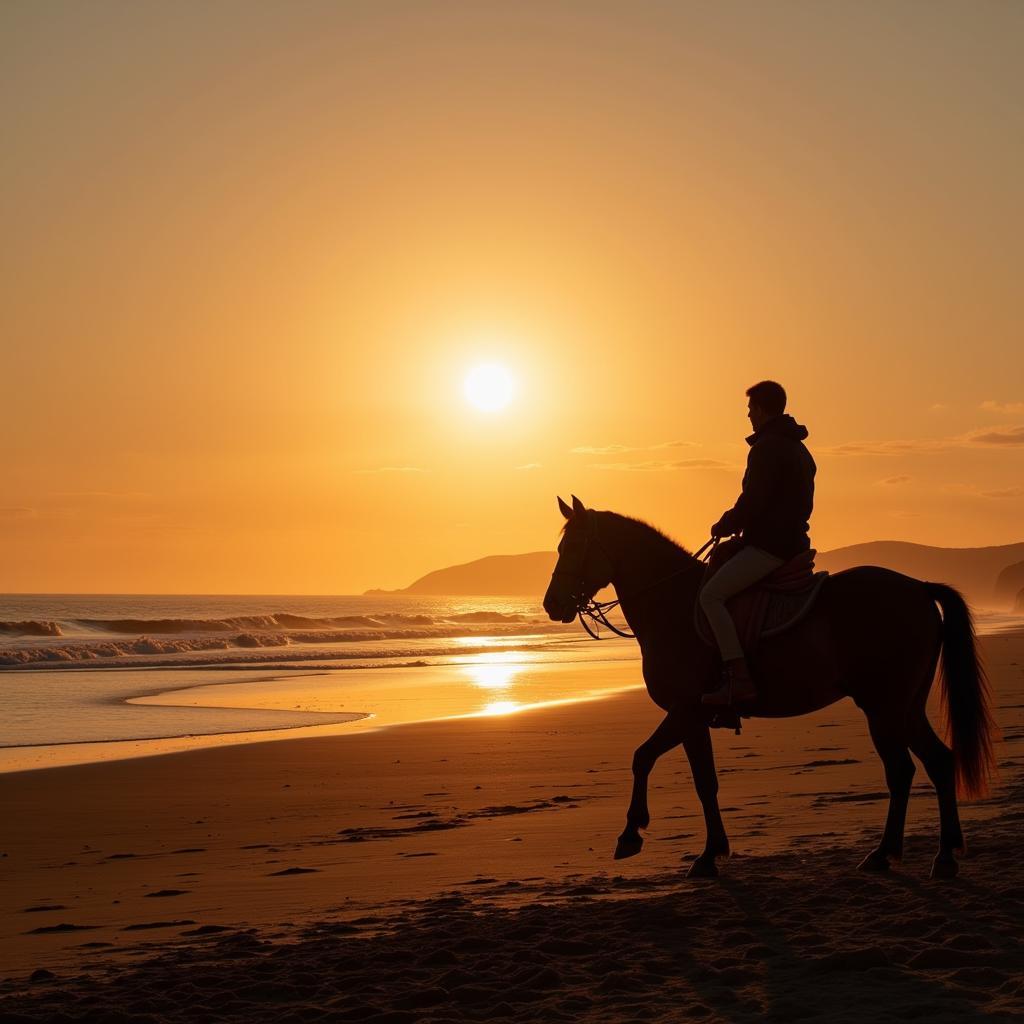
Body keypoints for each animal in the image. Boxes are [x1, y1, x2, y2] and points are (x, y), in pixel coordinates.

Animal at [540, 495, 995, 880]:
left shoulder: (686, 712)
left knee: (902, 771)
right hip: (905, 707)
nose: (551, 604)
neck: (671, 604)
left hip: (883, 708)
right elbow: (688, 775)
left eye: (573, 547)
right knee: (939, 761)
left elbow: (658, 764)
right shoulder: (692, 717)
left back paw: (887, 854)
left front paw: (647, 838)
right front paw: (707, 850)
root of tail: (917, 588)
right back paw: (942, 854)